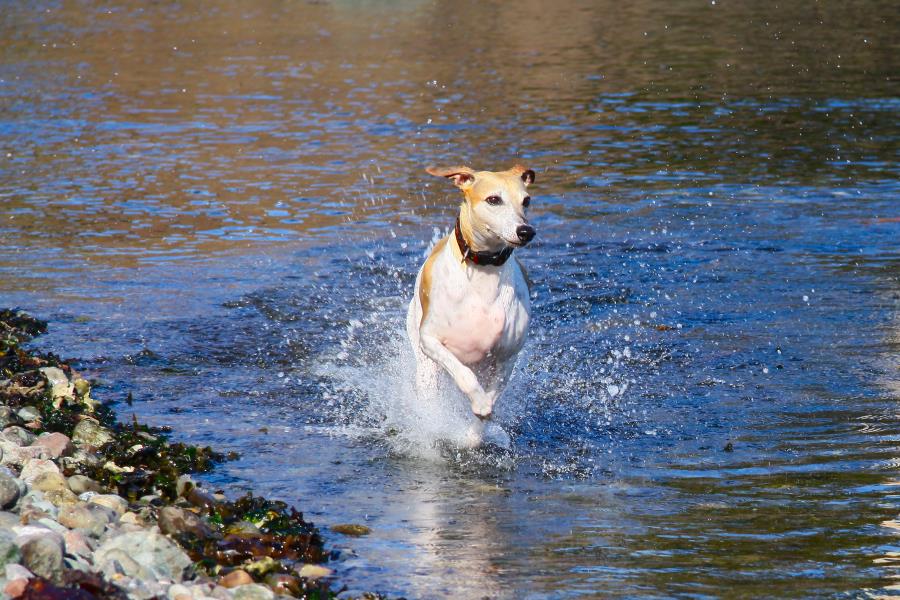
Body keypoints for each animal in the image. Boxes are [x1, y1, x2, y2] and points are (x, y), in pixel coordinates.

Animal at [406, 164, 536, 446]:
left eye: (526, 200)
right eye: (493, 199)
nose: (526, 231)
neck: (483, 268)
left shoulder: (506, 357)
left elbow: (489, 402)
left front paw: (476, 429)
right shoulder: (431, 340)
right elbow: (464, 375)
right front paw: (478, 402)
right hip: (426, 368)